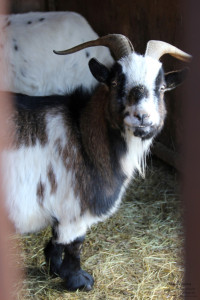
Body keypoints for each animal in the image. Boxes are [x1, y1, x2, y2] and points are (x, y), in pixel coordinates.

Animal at [2, 34, 191, 290]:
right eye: (115, 82)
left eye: (161, 87)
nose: (142, 116)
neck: (83, 133)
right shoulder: (73, 209)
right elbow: (74, 245)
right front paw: (78, 280)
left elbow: (56, 242)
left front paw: (55, 269)